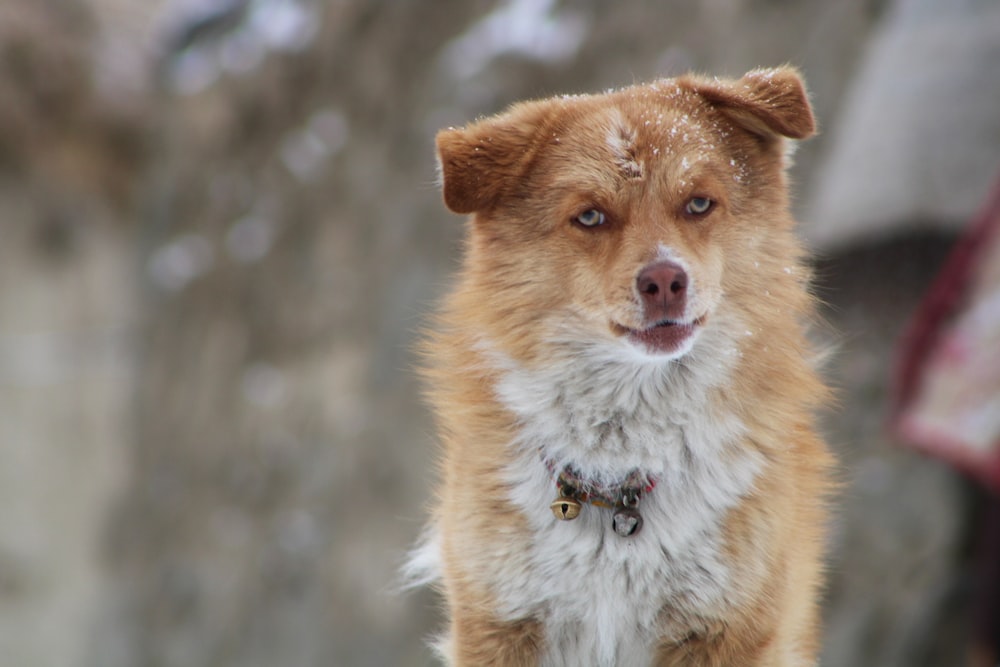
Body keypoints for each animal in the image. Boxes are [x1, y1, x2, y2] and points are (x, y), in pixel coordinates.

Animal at [406, 65, 836, 664]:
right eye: (590, 216)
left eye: (698, 204)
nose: (665, 281)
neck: (620, 470)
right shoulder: (501, 621)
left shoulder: (721, 627)